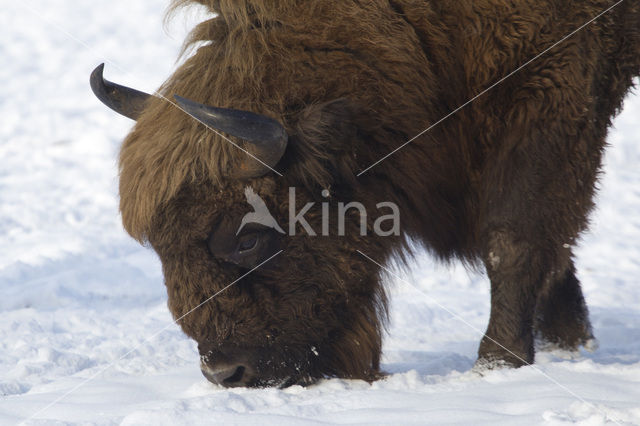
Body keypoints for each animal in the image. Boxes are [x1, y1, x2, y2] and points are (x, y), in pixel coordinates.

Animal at [91, 0, 640, 386]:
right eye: (160, 247)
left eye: (246, 237)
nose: (226, 374)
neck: (406, 29)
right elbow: (554, 251)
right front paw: (572, 345)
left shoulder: (553, 94)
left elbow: (514, 239)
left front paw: (497, 363)